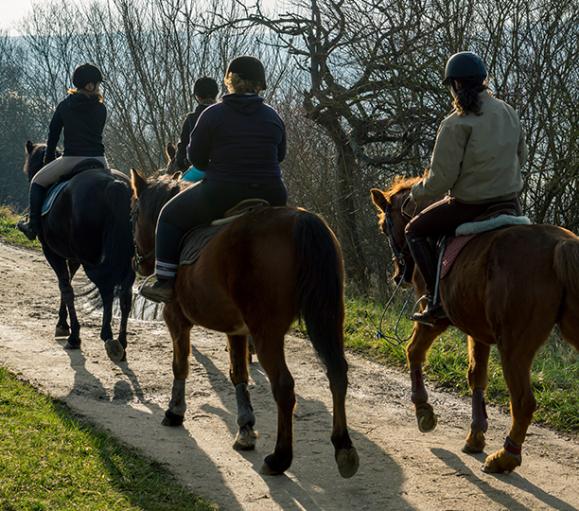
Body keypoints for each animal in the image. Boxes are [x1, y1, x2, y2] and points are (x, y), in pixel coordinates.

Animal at [23, 142, 136, 362]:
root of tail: (116, 185)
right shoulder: (73, 257)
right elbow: (67, 284)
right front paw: (62, 324)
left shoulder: (53, 253)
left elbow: (66, 288)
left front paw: (72, 333)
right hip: (126, 258)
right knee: (125, 294)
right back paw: (122, 342)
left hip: (90, 256)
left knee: (106, 288)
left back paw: (108, 337)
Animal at [130, 172, 360, 480]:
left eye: (134, 213)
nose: (139, 263)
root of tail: (301, 220)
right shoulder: (237, 330)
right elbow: (238, 374)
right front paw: (246, 428)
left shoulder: (175, 318)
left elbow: (180, 365)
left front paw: (175, 411)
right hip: (328, 318)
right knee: (337, 373)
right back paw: (343, 447)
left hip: (267, 332)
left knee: (284, 387)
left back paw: (279, 458)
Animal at [372, 178, 579, 474]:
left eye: (384, 226)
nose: (399, 275)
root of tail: (559, 246)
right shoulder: (478, 331)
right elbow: (476, 376)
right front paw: (476, 435)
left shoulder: (435, 320)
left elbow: (413, 351)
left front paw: (424, 410)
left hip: (514, 347)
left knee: (523, 402)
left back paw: (506, 456)